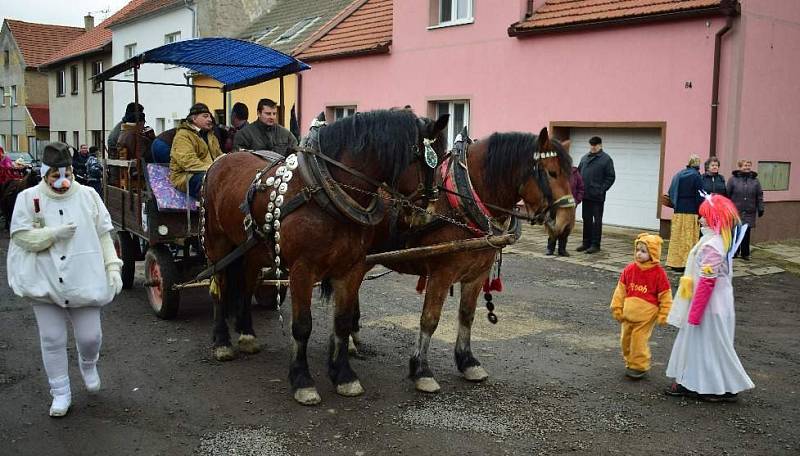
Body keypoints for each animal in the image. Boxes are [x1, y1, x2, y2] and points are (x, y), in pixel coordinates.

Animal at [202, 108, 450, 404]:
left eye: (442, 159)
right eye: (424, 159)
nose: (428, 214)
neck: (326, 190)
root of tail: (222, 159)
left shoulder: (351, 267)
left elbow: (342, 321)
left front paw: (344, 376)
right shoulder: (302, 269)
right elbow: (302, 325)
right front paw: (302, 380)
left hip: (252, 248)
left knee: (246, 284)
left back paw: (247, 334)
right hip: (217, 243)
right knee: (219, 287)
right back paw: (221, 342)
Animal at [354, 127, 572, 392]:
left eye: (571, 172)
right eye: (551, 172)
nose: (566, 223)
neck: (461, 201)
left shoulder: (477, 274)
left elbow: (467, 315)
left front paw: (467, 361)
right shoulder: (441, 275)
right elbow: (430, 319)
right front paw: (421, 370)